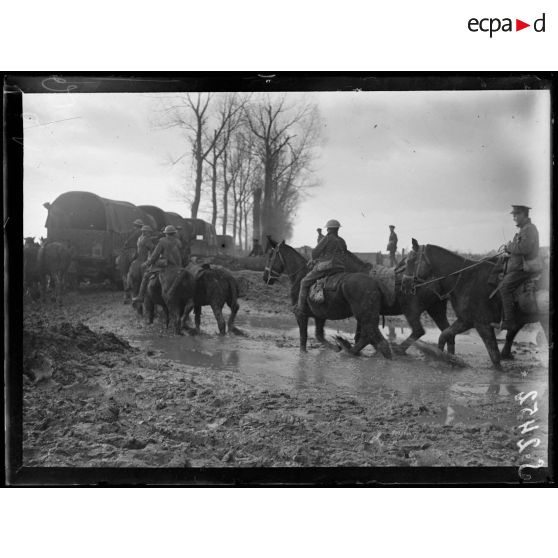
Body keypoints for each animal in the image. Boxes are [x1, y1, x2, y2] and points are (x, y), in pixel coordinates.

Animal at [264, 237, 392, 358]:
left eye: (270, 256)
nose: (265, 278)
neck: (299, 277)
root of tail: (375, 283)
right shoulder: (319, 316)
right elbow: (319, 336)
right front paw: (336, 347)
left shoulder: (301, 315)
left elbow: (303, 339)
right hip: (366, 319)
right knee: (369, 339)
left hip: (366, 318)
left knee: (379, 342)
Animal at [402, 238, 552, 370]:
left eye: (410, 261)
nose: (404, 284)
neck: (466, 279)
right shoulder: (465, 321)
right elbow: (444, 334)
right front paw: (443, 358)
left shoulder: (482, 325)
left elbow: (495, 357)